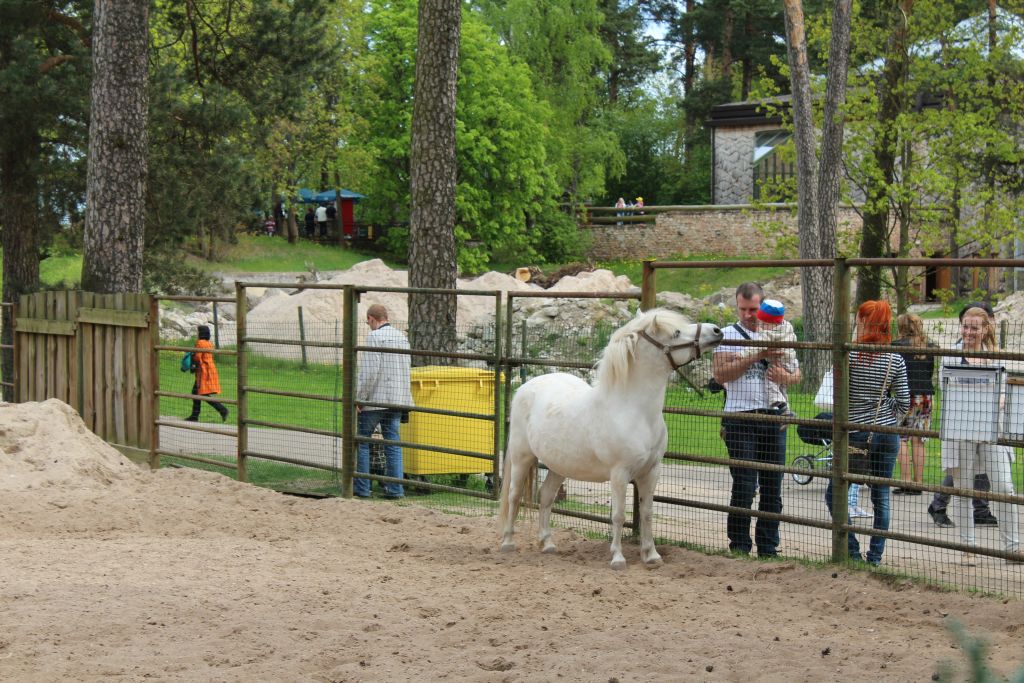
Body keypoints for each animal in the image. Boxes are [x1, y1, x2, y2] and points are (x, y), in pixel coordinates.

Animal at [497, 307, 724, 569]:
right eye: (676, 332)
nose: (716, 331)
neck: (633, 411)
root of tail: (525, 388)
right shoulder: (620, 474)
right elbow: (618, 515)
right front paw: (617, 558)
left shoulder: (651, 471)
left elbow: (647, 513)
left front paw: (651, 556)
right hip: (521, 457)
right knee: (514, 496)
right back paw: (508, 542)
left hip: (558, 466)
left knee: (545, 497)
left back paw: (548, 544)